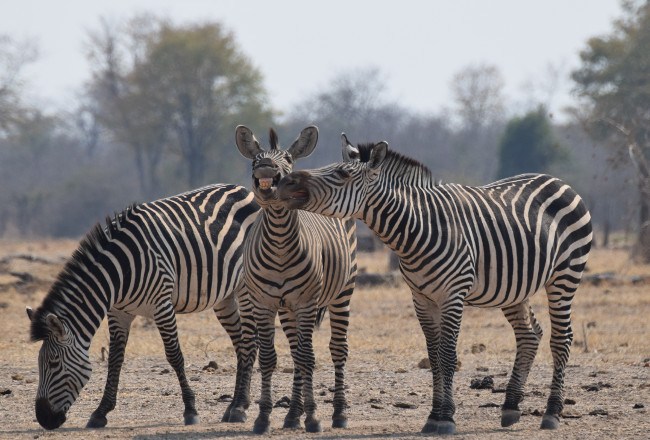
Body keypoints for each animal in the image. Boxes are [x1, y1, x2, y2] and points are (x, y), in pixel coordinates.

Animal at [25, 184, 258, 432]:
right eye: (39, 364)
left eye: (54, 364)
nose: (43, 419)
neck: (118, 274)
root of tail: (243, 189)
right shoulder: (118, 313)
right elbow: (115, 359)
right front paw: (100, 412)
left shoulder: (162, 306)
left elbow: (174, 356)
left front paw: (190, 410)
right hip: (225, 297)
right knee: (241, 344)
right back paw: (234, 406)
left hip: (245, 287)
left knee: (248, 343)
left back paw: (239, 408)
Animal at [233, 124, 354, 434]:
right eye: (256, 159)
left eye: (286, 159)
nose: (265, 167)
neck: (278, 243)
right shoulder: (263, 303)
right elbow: (269, 358)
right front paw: (263, 417)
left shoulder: (307, 302)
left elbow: (308, 358)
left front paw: (313, 417)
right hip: (286, 308)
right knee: (295, 351)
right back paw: (292, 415)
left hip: (343, 292)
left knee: (337, 350)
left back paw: (338, 413)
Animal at [276, 136, 588, 434]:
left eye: (341, 174)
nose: (285, 181)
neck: (418, 229)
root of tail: (556, 180)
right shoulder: (422, 298)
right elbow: (434, 355)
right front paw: (433, 417)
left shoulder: (453, 295)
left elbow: (448, 355)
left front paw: (447, 418)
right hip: (513, 288)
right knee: (529, 335)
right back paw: (511, 407)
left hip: (565, 275)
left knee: (562, 339)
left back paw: (551, 413)